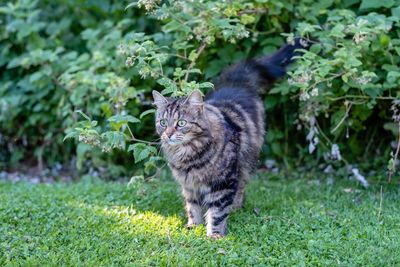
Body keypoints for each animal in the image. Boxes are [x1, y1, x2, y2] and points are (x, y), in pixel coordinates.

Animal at [151, 37, 306, 239]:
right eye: (163, 122)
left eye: (181, 123)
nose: (168, 133)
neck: (189, 155)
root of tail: (236, 83)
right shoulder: (189, 185)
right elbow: (193, 207)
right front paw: (193, 226)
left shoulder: (223, 183)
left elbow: (217, 212)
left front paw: (215, 234)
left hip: (246, 163)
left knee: (241, 188)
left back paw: (236, 208)